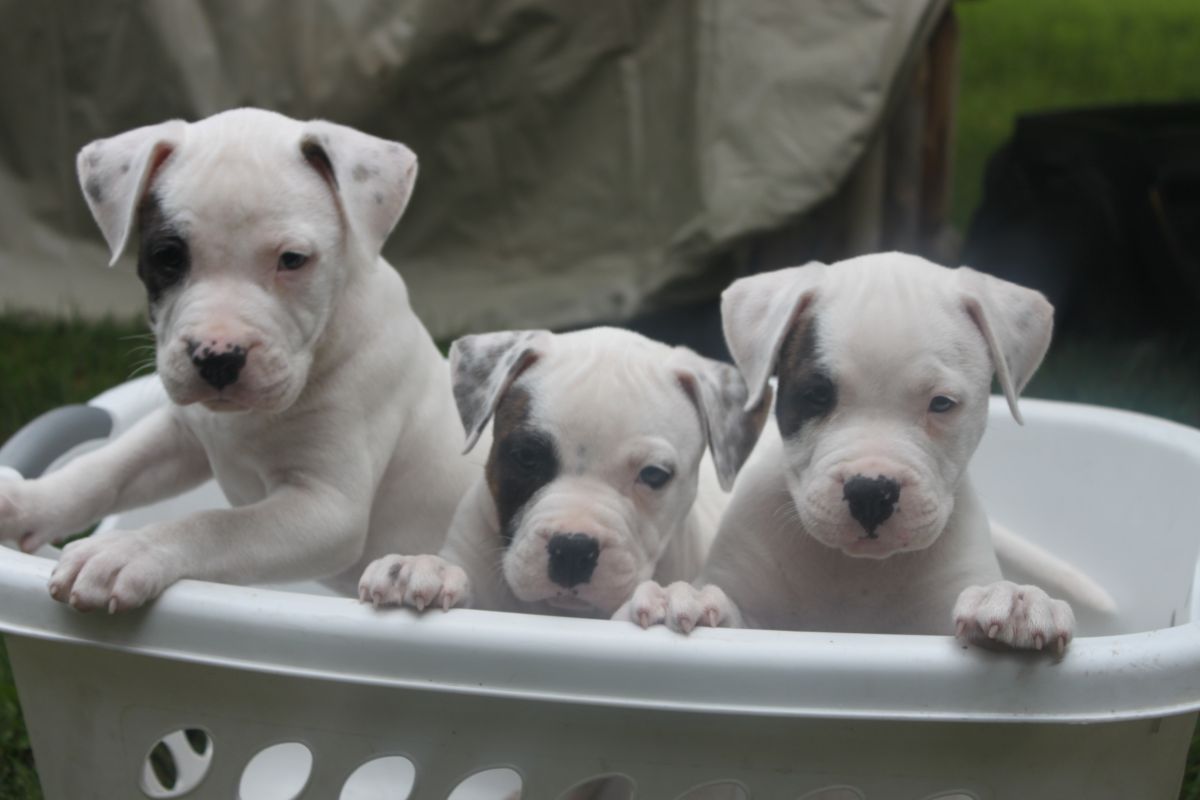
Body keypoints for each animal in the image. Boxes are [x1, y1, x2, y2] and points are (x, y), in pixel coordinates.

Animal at [0, 107, 477, 614]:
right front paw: (25, 503)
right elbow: (103, 469)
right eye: (168, 256)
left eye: (293, 259)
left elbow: (215, 524)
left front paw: (126, 550)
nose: (218, 358)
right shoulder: (181, 434)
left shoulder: (327, 508)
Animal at [619, 253, 1080, 652]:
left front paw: (1015, 599)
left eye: (942, 403)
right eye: (817, 395)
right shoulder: (750, 608)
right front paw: (685, 600)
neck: (854, 570)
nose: (871, 493)